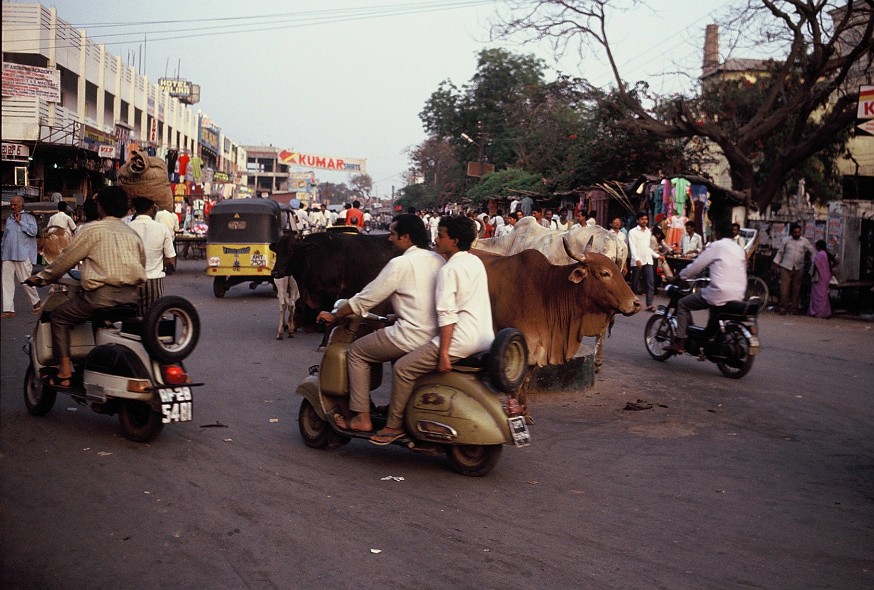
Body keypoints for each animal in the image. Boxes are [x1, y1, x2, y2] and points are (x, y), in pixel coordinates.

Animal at [474, 247, 636, 418]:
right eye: (604, 273)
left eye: (619, 270)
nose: (636, 303)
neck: (546, 291)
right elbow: (516, 385)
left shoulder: (535, 350)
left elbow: (525, 382)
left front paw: (524, 413)